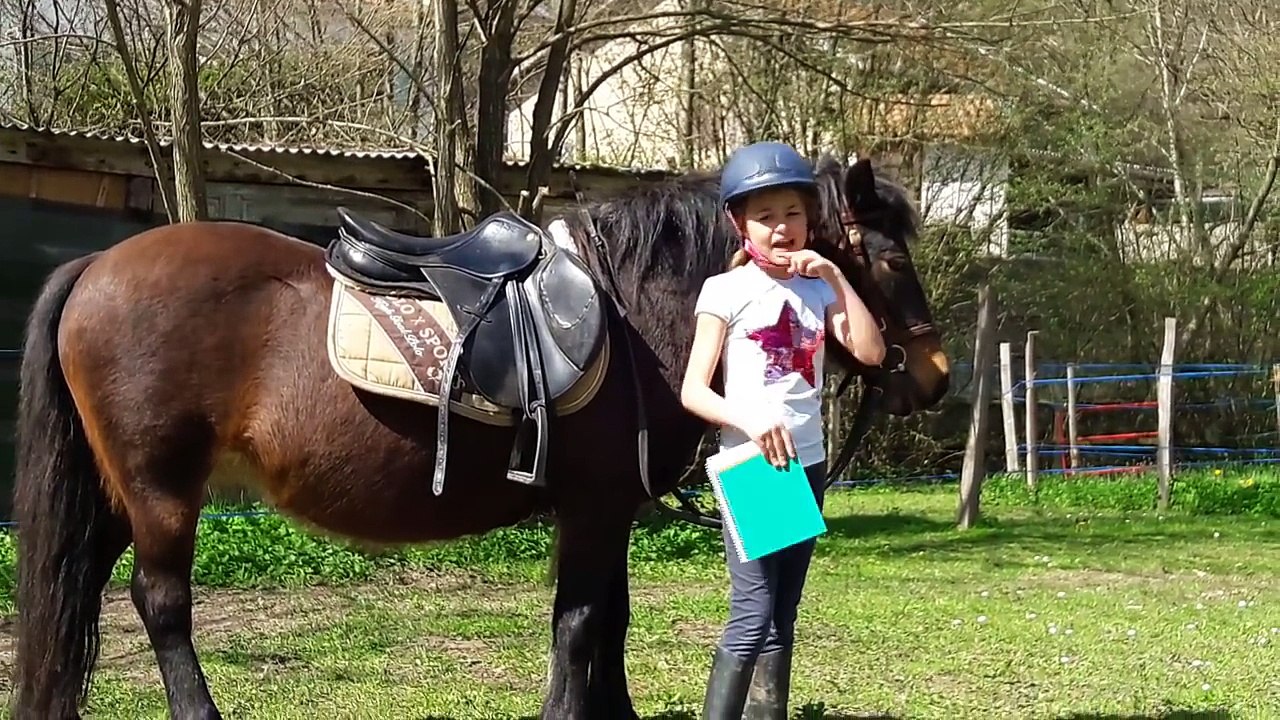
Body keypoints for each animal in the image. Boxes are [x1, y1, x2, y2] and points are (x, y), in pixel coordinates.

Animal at [9, 152, 949, 720]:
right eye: (890, 258)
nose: (934, 374)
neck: (633, 311)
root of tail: (94, 267)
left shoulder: (607, 512)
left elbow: (610, 621)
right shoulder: (594, 508)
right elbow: (581, 624)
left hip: (116, 494)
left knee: (79, 594)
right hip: (162, 491)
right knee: (162, 605)